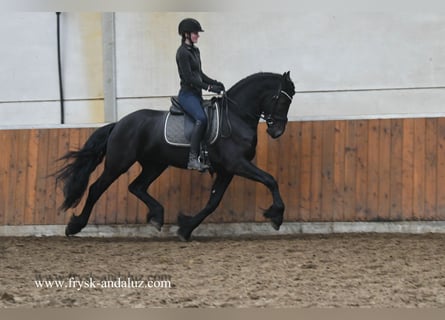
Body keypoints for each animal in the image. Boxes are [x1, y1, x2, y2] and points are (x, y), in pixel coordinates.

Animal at [56, 71, 294, 241]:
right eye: (282, 101)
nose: (277, 132)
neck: (236, 117)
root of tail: (119, 123)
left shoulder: (226, 170)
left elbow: (213, 202)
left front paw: (186, 228)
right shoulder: (237, 164)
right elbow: (270, 180)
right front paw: (277, 215)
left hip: (155, 165)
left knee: (136, 187)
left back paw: (157, 216)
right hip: (119, 163)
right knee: (96, 188)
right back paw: (75, 226)